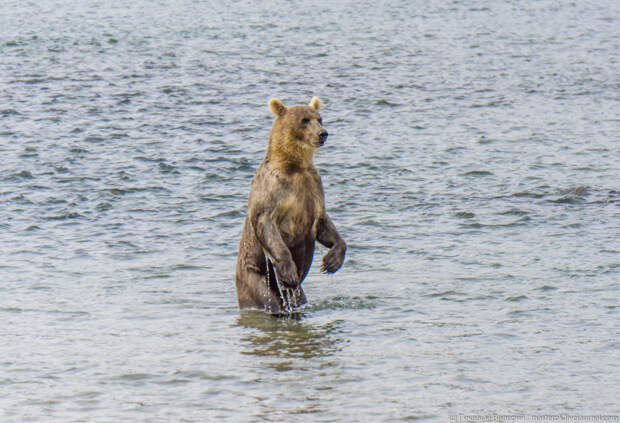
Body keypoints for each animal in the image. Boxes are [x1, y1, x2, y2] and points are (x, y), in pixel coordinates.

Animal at [235, 97, 346, 314]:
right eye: (304, 120)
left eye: (320, 118)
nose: (323, 133)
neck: (294, 165)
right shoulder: (272, 188)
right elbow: (266, 223)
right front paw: (288, 271)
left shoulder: (314, 186)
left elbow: (323, 222)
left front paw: (331, 261)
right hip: (254, 275)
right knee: (265, 297)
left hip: (297, 292)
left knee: (299, 298)